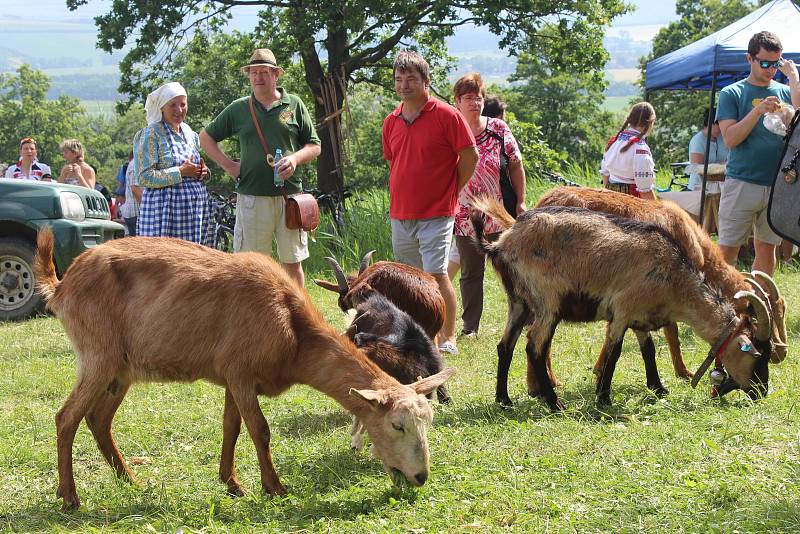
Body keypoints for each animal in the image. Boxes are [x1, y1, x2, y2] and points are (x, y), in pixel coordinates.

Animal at [472, 201, 772, 410]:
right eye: (758, 356)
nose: (762, 392)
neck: (673, 277)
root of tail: (501, 243)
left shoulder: (640, 318)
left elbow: (648, 351)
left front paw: (658, 388)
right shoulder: (622, 311)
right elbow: (614, 353)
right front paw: (604, 398)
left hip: (518, 302)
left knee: (505, 346)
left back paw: (504, 399)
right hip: (548, 302)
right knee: (535, 346)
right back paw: (554, 402)